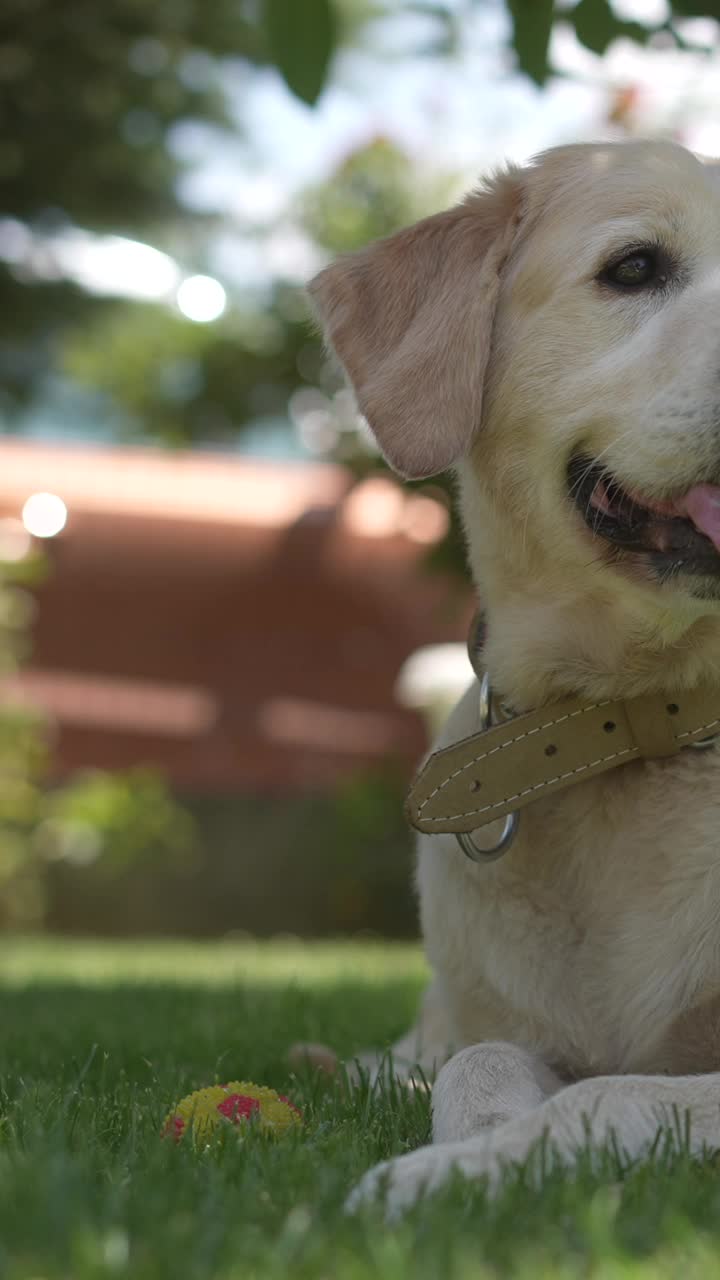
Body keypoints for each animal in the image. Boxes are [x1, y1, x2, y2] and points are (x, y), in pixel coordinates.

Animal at [301, 140, 720, 1208]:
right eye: (635, 268)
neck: (648, 719)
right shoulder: (497, 1023)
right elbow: (479, 1062)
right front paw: (474, 1146)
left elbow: (607, 1093)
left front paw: (450, 1176)